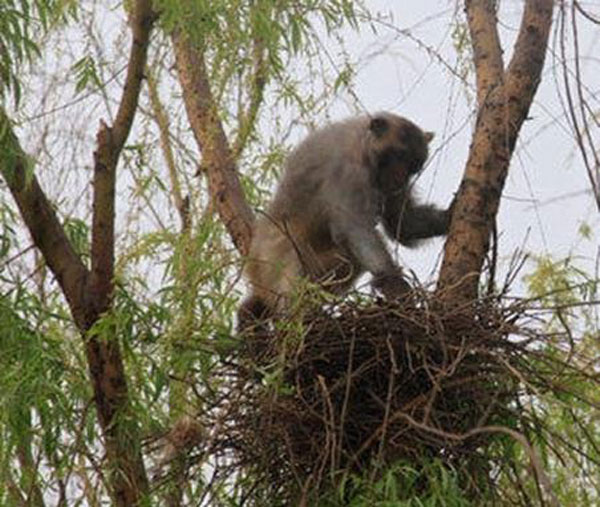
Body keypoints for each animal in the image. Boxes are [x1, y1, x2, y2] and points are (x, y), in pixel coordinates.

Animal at [237, 112, 452, 330]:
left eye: (412, 165)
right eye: (398, 156)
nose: (399, 179)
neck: (365, 147)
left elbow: (403, 225)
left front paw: (449, 216)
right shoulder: (348, 170)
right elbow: (355, 229)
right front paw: (394, 283)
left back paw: (250, 314)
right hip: (271, 256)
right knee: (292, 281)